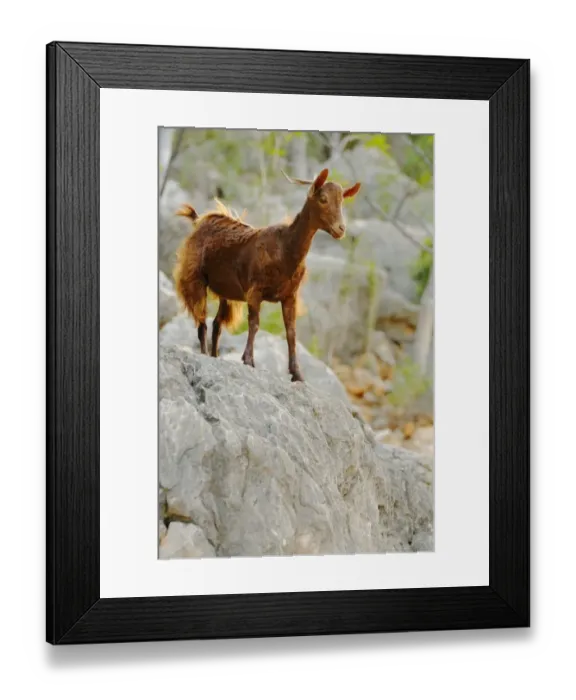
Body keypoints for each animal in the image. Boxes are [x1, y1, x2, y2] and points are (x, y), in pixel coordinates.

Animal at [173, 168, 361, 382]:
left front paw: (297, 374)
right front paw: (248, 360)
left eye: (342, 201)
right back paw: (204, 354)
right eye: (323, 198)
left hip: (225, 291)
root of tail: (198, 221)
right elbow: (254, 324)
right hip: (195, 277)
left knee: (216, 324)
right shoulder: (255, 291)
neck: (285, 250)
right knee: (201, 320)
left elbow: (291, 332)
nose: (340, 229)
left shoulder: (290, 296)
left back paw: (214, 356)